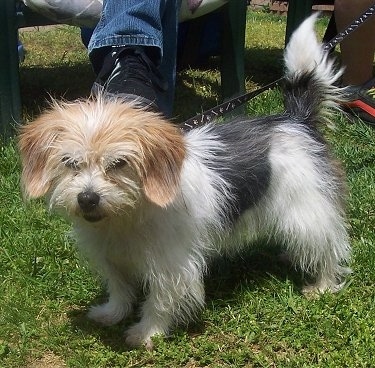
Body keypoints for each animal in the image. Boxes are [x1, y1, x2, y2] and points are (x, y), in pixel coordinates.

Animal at [18, 15, 352, 350]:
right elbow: (120, 287)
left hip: (305, 209)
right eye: (70, 162)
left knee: (328, 245)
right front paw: (113, 313)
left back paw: (323, 284)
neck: (127, 214)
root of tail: (296, 121)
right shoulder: (112, 256)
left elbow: (160, 299)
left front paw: (147, 331)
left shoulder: (171, 265)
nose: (87, 199)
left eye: (119, 163)